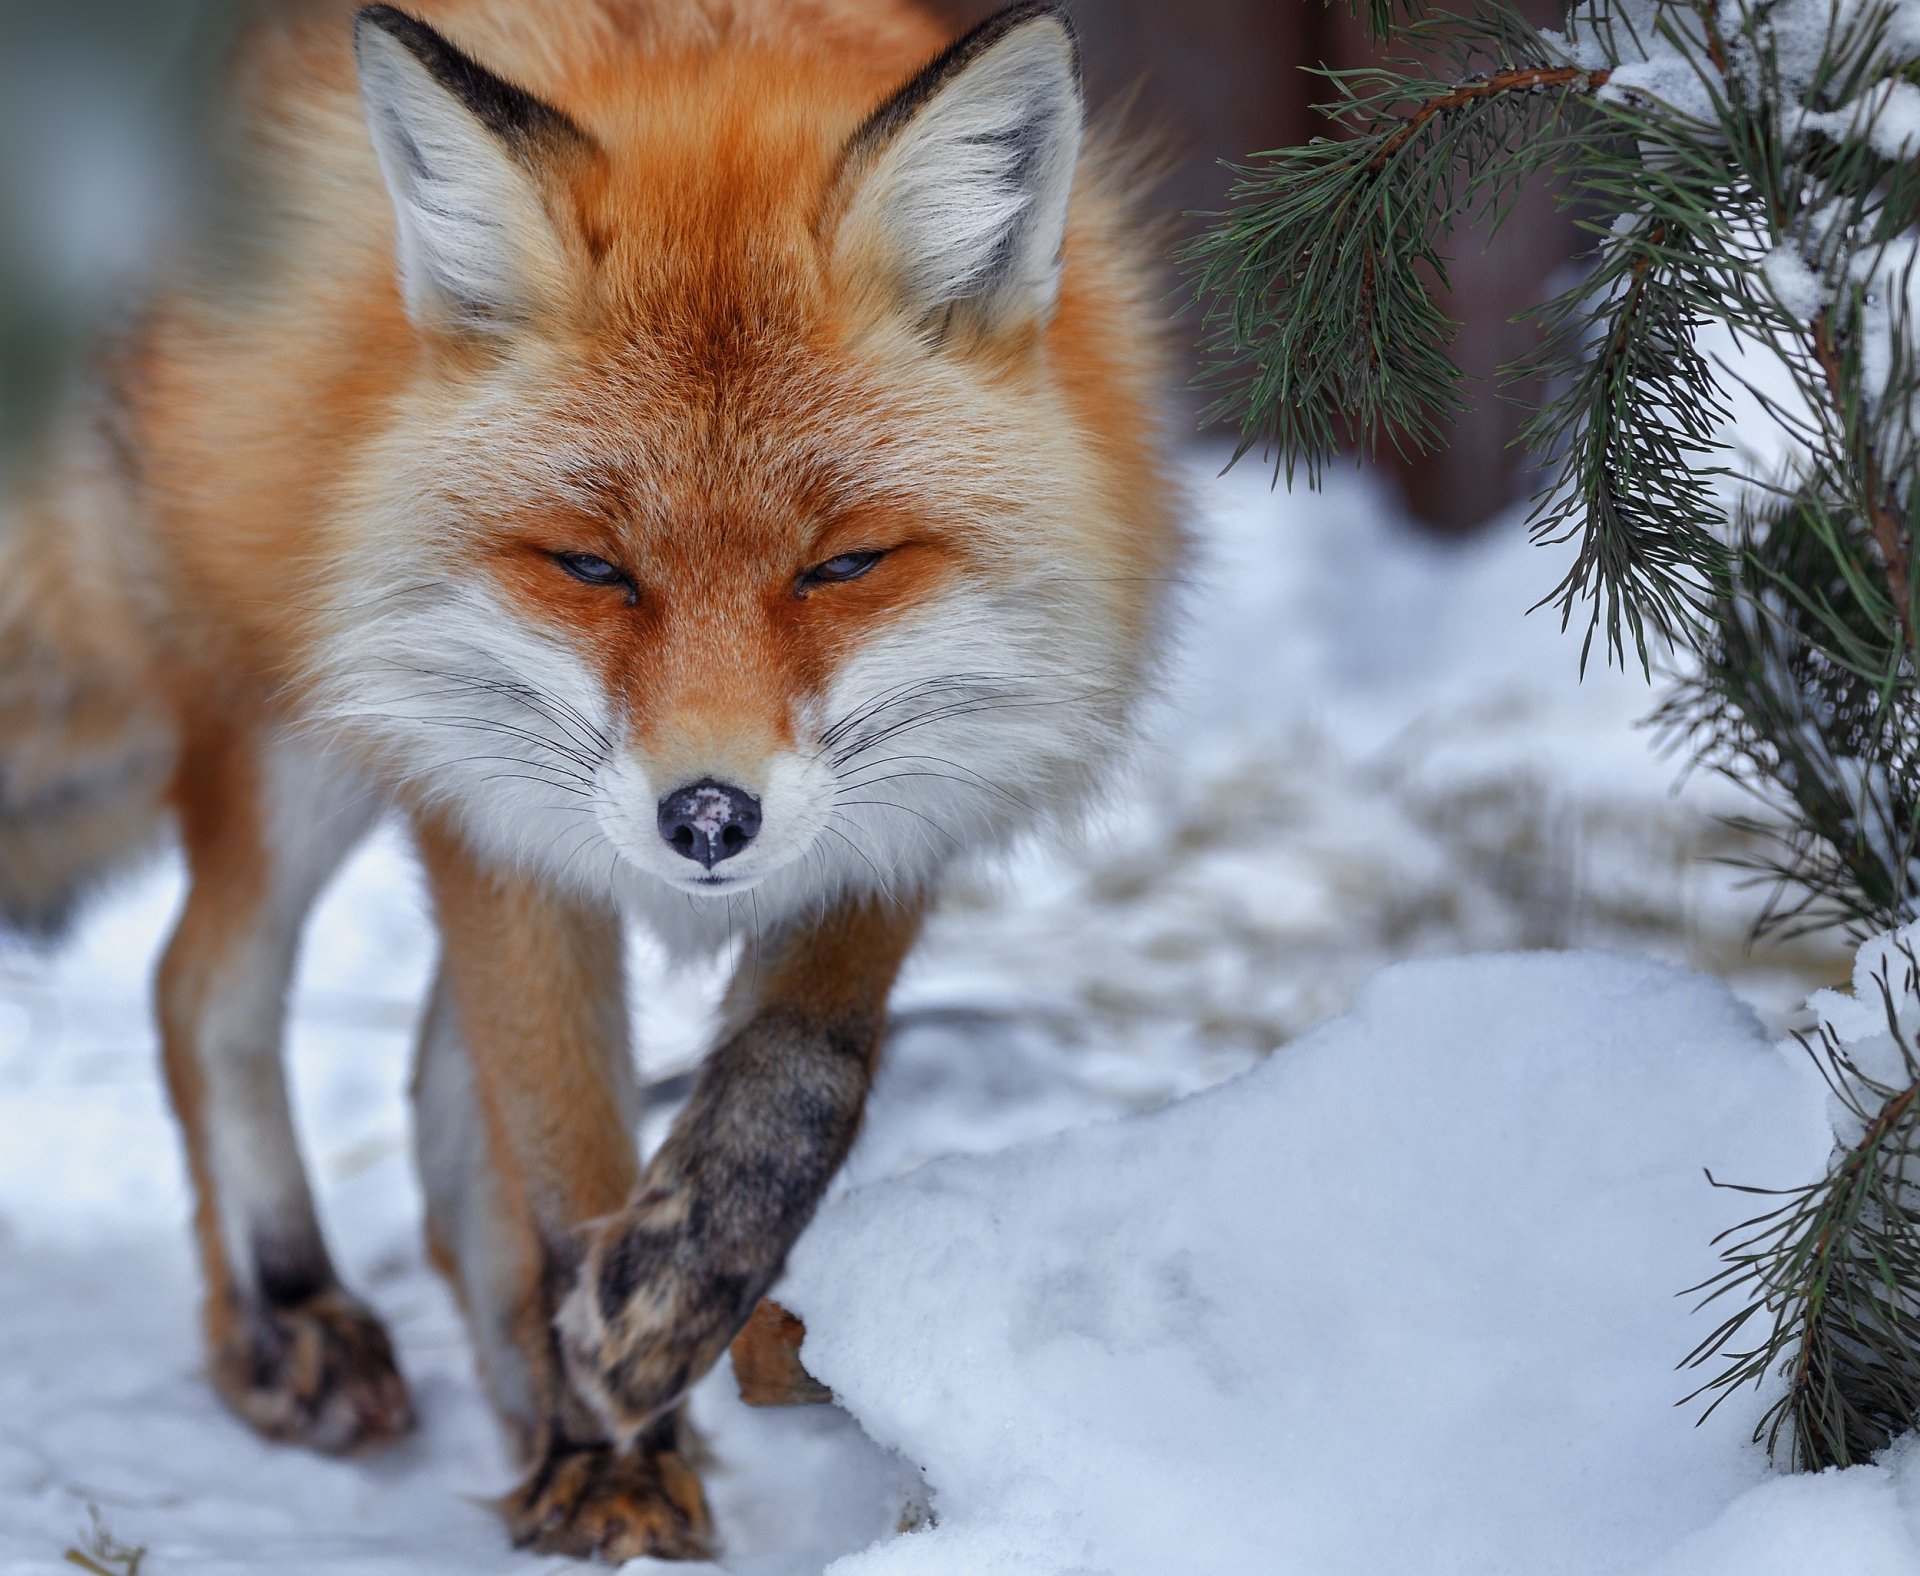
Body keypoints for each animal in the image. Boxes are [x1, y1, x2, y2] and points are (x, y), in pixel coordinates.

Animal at [0, 0, 1177, 1559]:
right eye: (592, 568)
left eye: (842, 567)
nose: (708, 818)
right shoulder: (492, 822)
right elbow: (563, 1167)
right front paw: (609, 1465)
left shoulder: (908, 797)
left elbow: (801, 1079)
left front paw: (673, 1303)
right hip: (307, 718)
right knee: (201, 985)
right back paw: (291, 1313)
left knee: (429, 1106)